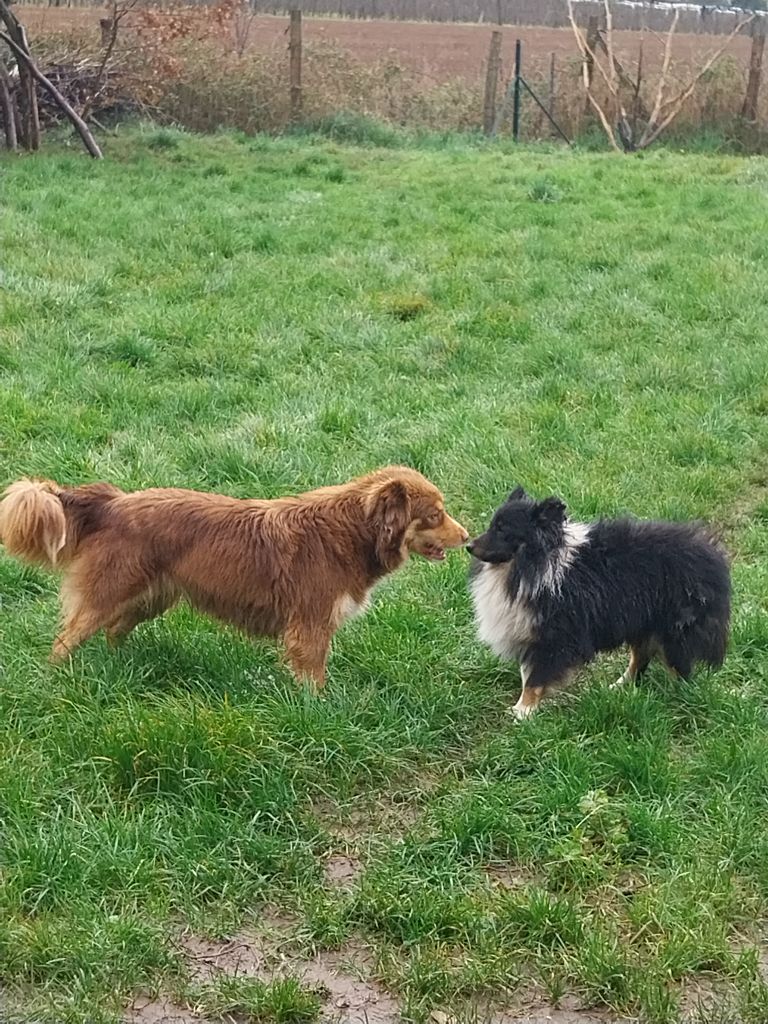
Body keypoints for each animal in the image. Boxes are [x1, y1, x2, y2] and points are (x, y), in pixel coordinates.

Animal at [0, 468, 468, 688]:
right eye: (435, 515)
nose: (467, 538)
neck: (352, 532)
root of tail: (112, 503)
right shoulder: (310, 626)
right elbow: (314, 678)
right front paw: (319, 710)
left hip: (150, 598)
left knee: (115, 630)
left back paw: (123, 665)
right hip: (109, 593)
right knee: (65, 639)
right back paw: (57, 678)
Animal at [468, 487, 733, 720]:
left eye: (503, 530)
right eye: (492, 525)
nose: (469, 545)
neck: (535, 564)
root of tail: (714, 557)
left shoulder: (556, 637)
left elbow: (535, 679)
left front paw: (523, 712)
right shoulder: (531, 632)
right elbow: (527, 673)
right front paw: (525, 708)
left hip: (674, 631)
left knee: (680, 670)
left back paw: (680, 700)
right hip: (642, 622)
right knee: (640, 658)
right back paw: (621, 687)